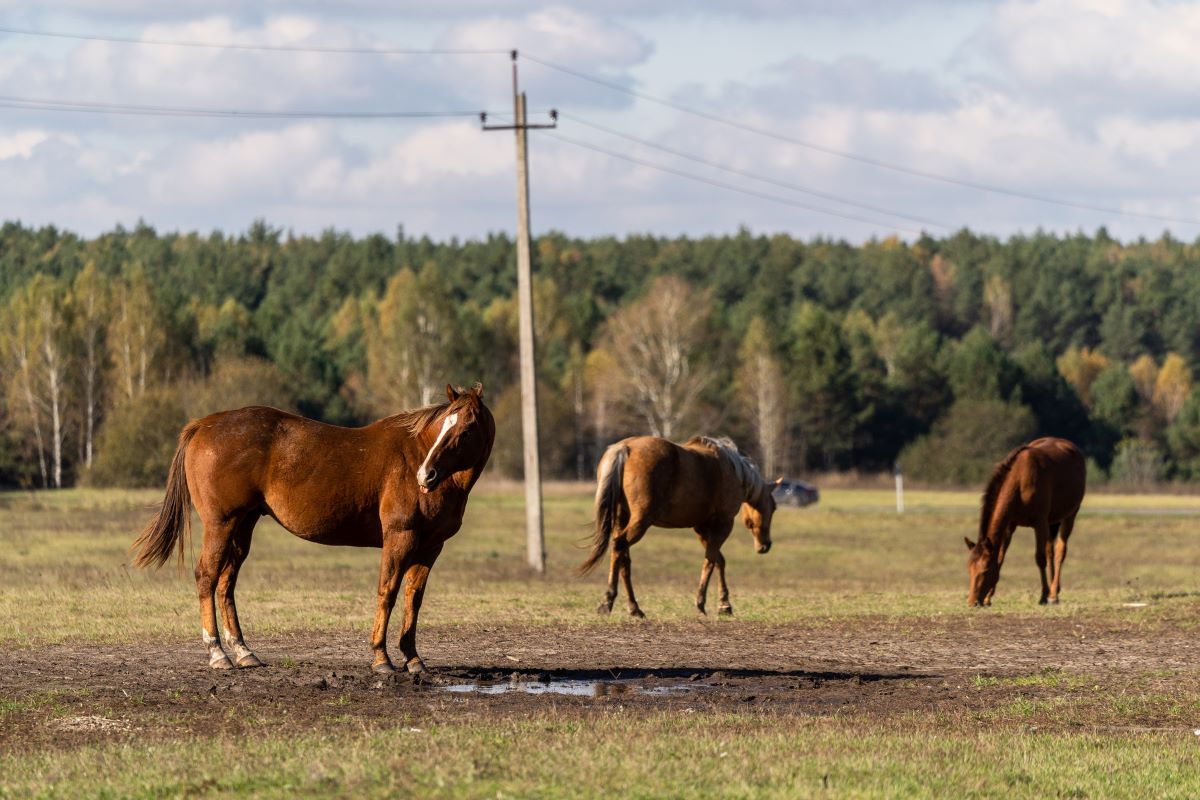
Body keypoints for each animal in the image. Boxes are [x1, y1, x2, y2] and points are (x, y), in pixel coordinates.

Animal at [131, 383, 494, 674]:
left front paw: (413, 658)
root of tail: (202, 425)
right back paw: (217, 653)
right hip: (221, 524)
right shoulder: (400, 538)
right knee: (207, 577)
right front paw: (381, 658)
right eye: (444, 425)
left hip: (242, 527)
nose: (425, 476)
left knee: (225, 583)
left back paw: (244, 652)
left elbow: (413, 598)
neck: (414, 452)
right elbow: (388, 592)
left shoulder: (430, 547)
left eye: (466, 429)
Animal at [579, 435, 779, 618]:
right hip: (639, 522)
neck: (731, 470)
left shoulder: (701, 528)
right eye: (774, 507)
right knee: (620, 547)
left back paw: (634, 608)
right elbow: (710, 561)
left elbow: (718, 560)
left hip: (622, 519)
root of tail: (625, 448)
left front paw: (724, 605)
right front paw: (704, 604)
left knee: (623, 558)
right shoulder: (723, 524)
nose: (765, 545)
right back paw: (608, 602)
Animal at [964, 437, 1086, 607]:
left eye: (985, 570)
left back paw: (1053, 593)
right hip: (1051, 522)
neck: (1020, 482)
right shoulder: (1009, 526)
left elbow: (1040, 558)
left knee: (1060, 552)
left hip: (1070, 515)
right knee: (1050, 550)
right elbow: (1000, 557)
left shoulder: (1039, 523)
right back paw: (1054, 591)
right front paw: (988, 597)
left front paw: (1043, 596)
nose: (972, 602)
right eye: (969, 569)